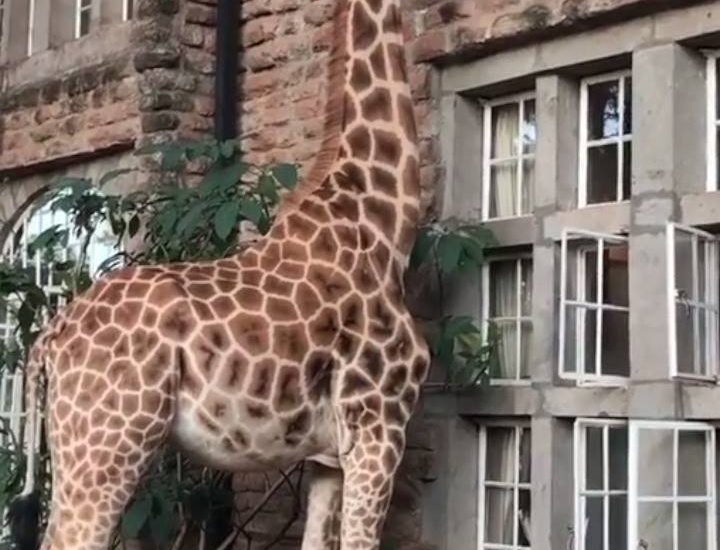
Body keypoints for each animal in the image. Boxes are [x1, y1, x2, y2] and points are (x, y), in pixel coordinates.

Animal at [9, 0, 429, 548]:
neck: (383, 225)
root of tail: (48, 339)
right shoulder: (379, 429)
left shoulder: (328, 457)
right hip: (108, 444)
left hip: (74, 447)